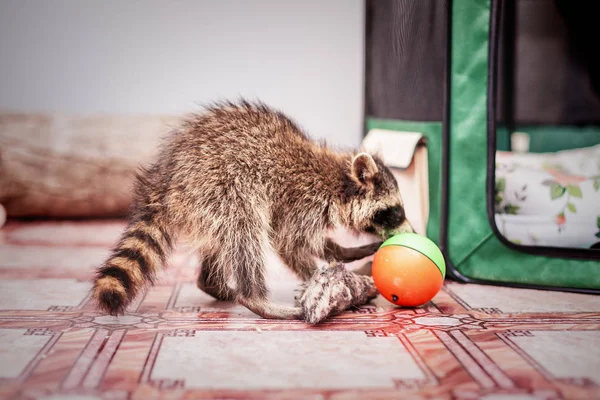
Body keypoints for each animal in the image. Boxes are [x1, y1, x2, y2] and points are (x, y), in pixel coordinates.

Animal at [91, 100, 408, 318]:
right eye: (394, 212)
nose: (410, 232)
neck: (337, 180)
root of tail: (164, 179)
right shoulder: (304, 200)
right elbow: (289, 244)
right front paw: (319, 277)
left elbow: (311, 243)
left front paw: (343, 253)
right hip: (219, 184)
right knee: (245, 227)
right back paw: (254, 297)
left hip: (204, 204)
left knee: (222, 239)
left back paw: (213, 283)